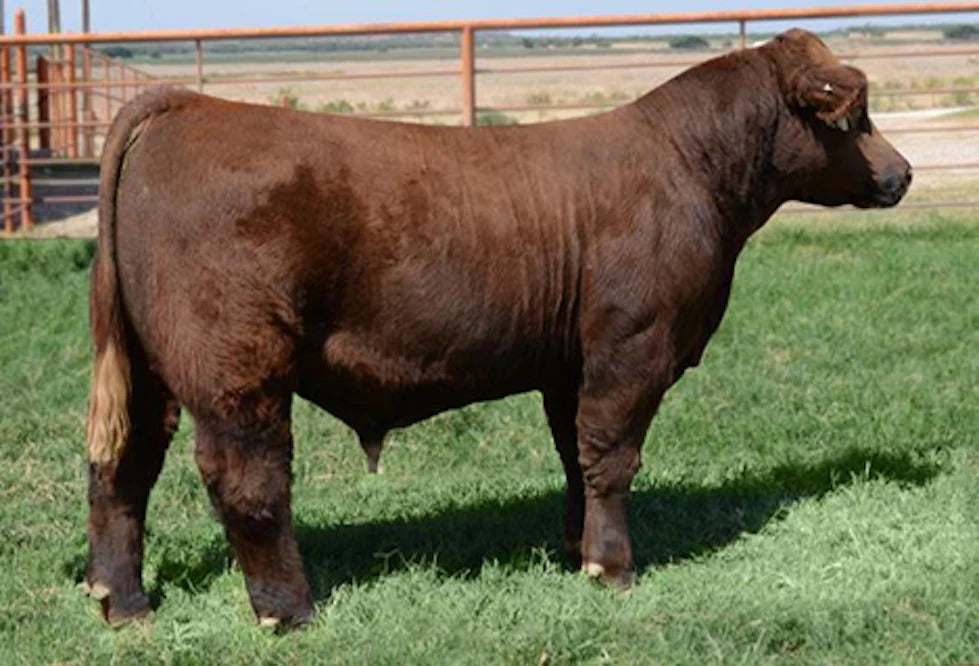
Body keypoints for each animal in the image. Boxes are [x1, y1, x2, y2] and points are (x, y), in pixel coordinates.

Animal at [83, 29, 911, 628]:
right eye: (852, 118)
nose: (901, 173)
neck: (690, 170)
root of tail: (190, 105)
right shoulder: (632, 347)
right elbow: (612, 456)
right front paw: (613, 568)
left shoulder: (570, 366)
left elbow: (576, 456)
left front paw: (576, 550)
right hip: (236, 369)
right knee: (246, 479)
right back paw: (287, 612)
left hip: (148, 370)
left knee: (122, 468)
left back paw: (122, 603)